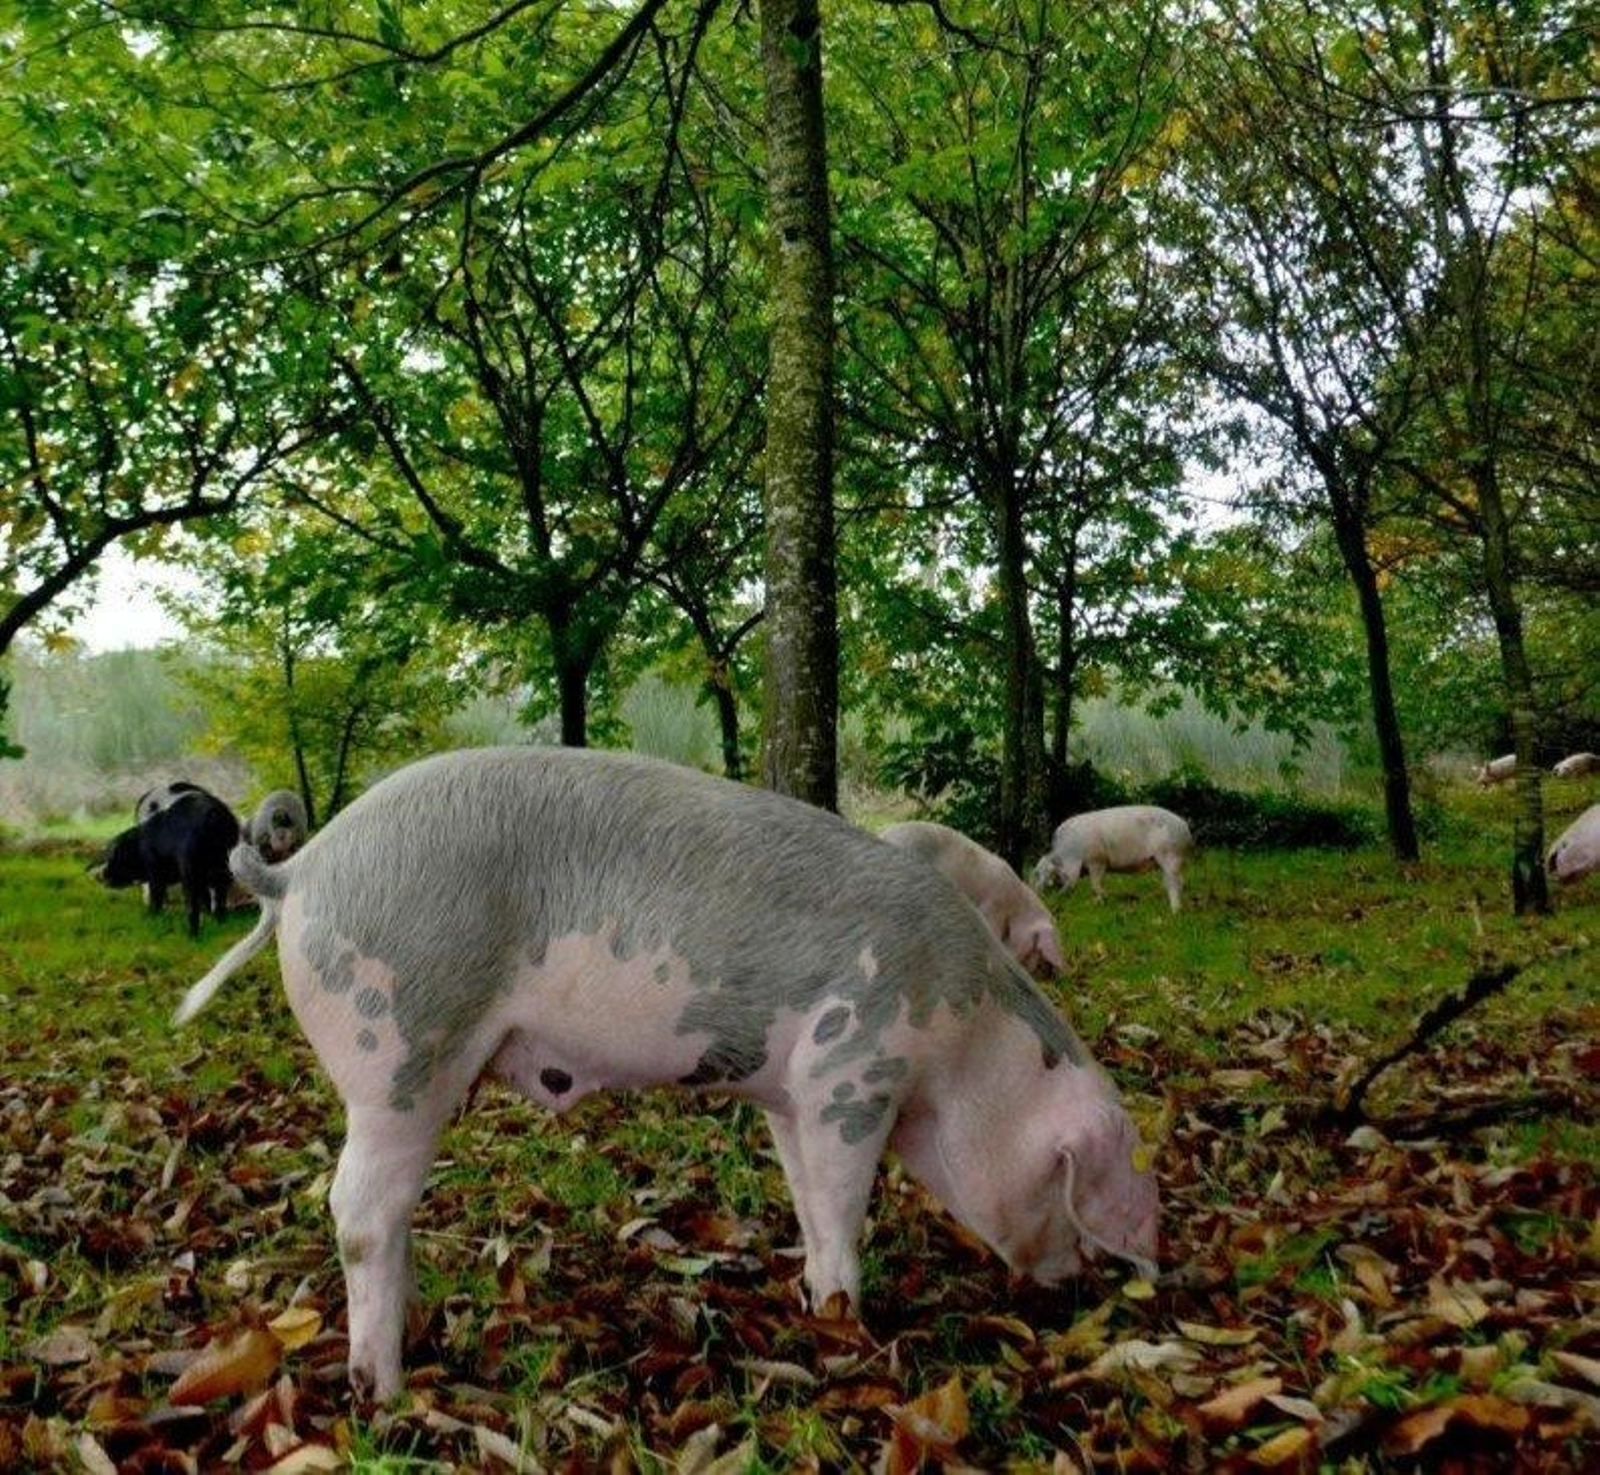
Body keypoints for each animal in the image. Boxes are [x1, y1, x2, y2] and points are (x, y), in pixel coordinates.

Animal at [99, 790, 241, 937]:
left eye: (113, 855)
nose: (100, 875)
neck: (139, 847)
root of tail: (214, 815)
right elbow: (206, 896)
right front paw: (211, 919)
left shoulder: (155, 871)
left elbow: (156, 895)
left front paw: (150, 918)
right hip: (223, 864)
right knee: (220, 893)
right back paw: (220, 922)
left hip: (190, 867)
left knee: (192, 901)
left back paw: (192, 935)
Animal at [1033, 805, 1194, 914]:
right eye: (1036, 873)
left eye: (1042, 873)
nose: (1037, 892)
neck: (1067, 853)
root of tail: (1185, 827)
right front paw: (1099, 902)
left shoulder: (1097, 859)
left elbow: (1095, 884)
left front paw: (1105, 898)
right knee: (1178, 881)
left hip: (1169, 853)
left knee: (1174, 883)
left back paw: (1174, 912)